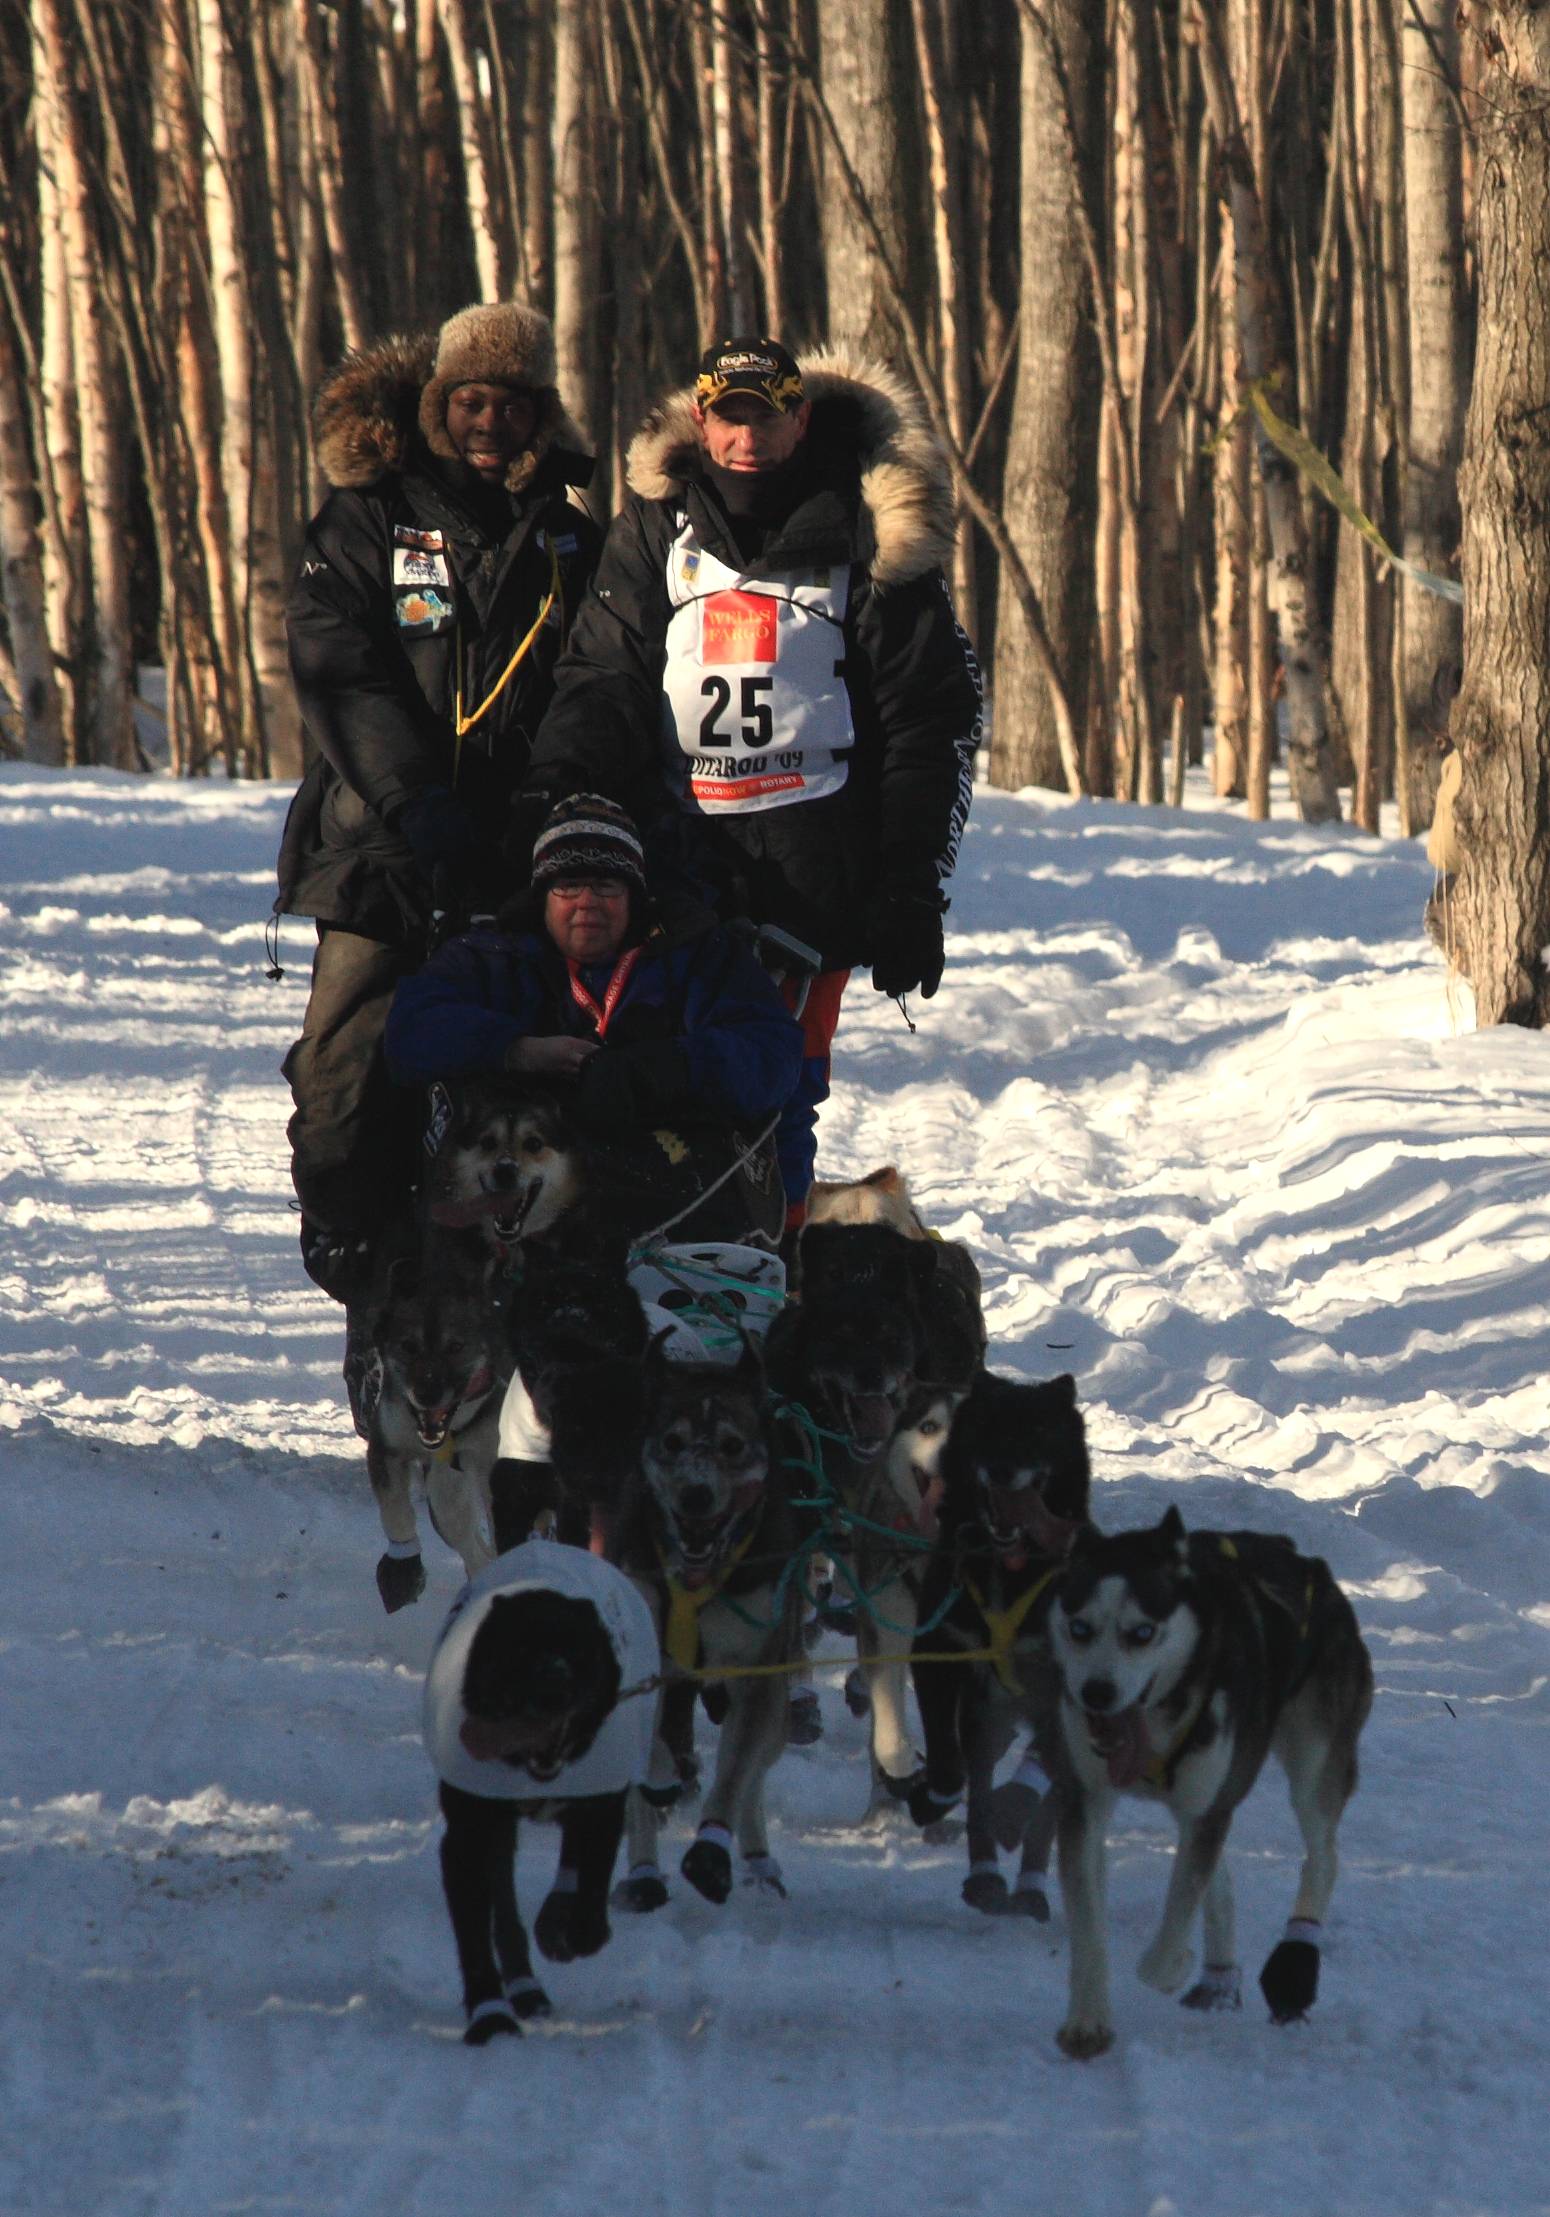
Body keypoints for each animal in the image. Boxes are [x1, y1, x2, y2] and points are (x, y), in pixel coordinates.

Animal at [421, 1543, 656, 2039]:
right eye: (520, 1648)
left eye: (577, 1649)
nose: (554, 1687)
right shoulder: (470, 1827)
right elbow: (477, 1927)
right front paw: (489, 2014)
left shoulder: (603, 1801)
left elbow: (591, 1882)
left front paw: (576, 1929)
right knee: (505, 1905)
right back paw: (524, 1985)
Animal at [1051, 1507, 1374, 2057]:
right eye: (1079, 1628)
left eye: (1142, 1632)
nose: (1096, 1692)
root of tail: (1311, 1567)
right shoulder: (1085, 1800)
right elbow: (1089, 1921)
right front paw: (1088, 2020)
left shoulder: (1207, 1806)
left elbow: (1180, 1904)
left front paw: (1168, 1965)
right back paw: (1219, 1971)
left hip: (1313, 1764)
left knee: (1322, 1857)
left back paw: (1292, 1959)